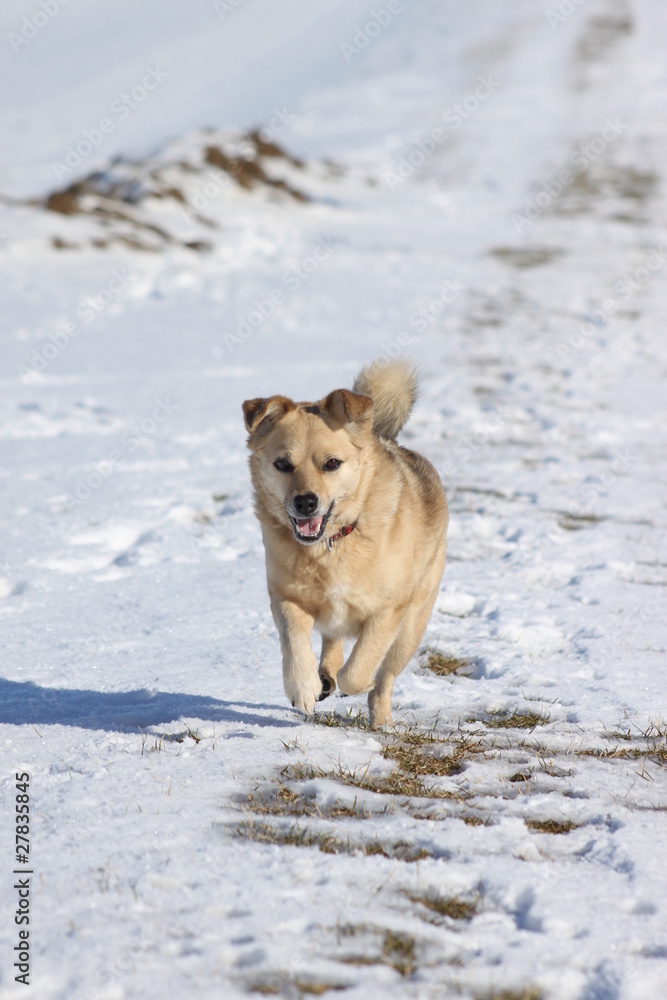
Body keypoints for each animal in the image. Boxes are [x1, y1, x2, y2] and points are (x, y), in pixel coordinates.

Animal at [243, 358, 452, 728]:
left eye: (332, 464)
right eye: (282, 464)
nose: (305, 502)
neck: (332, 544)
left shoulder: (388, 610)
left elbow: (358, 670)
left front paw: (357, 680)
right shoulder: (285, 597)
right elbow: (294, 642)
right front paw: (304, 687)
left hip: (411, 627)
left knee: (385, 677)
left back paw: (380, 718)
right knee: (332, 639)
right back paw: (324, 676)